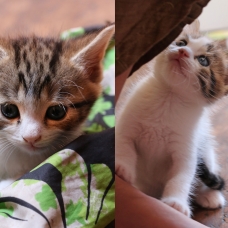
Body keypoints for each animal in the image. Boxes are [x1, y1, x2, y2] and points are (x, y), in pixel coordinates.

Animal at [116, 21, 228, 217]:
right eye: (181, 43)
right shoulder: (127, 125)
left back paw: (210, 196)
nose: (182, 51)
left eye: (203, 61)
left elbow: (182, 175)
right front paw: (122, 168)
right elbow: (124, 145)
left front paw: (176, 203)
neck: (170, 97)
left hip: (205, 148)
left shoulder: (186, 148)